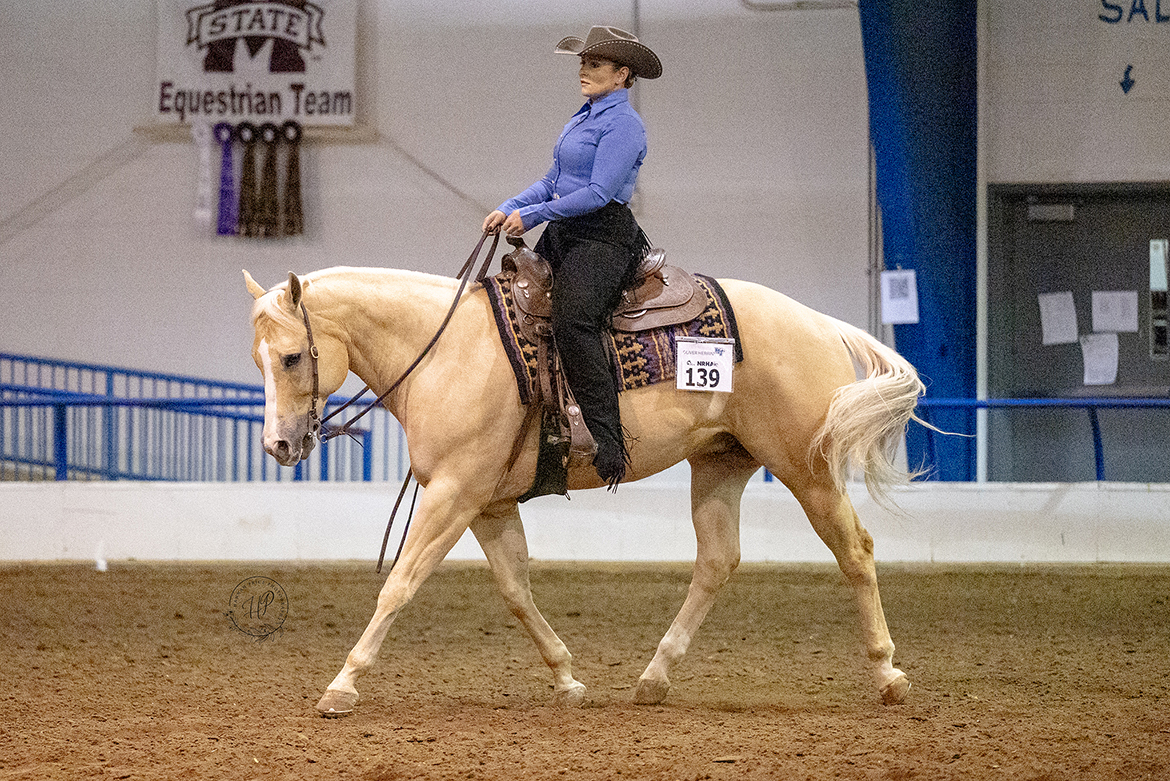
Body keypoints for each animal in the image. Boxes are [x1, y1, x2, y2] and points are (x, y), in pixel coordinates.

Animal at [243, 261, 923, 717]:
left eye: (292, 358)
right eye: (259, 360)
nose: (277, 447)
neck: (444, 353)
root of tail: (817, 322)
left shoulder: (452, 495)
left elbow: (399, 585)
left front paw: (342, 685)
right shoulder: (487, 505)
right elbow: (515, 591)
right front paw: (566, 677)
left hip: (806, 469)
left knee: (855, 551)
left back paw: (889, 674)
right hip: (721, 463)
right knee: (717, 561)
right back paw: (654, 677)